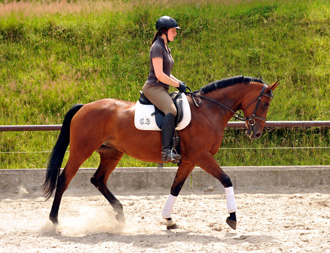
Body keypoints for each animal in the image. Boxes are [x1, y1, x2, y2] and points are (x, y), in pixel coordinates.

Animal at [42, 74, 278, 229]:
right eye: (265, 103)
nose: (256, 133)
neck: (208, 110)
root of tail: (84, 107)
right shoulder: (202, 156)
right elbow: (227, 179)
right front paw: (232, 217)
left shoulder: (189, 161)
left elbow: (176, 187)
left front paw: (169, 219)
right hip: (81, 151)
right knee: (64, 179)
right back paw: (54, 220)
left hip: (112, 153)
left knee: (98, 180)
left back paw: (120, 213)